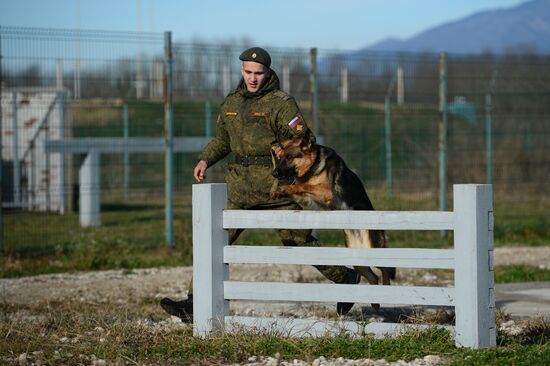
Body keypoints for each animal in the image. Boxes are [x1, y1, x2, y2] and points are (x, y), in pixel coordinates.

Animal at [272, 133, 396, 308]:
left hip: (374, 249)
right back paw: (375, 302)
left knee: (385, 270)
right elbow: (300, 188)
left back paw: (386, 291)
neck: (313, 165)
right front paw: (280, 190)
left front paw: (285, 187)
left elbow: (303, 185)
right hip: (358, 260)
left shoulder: (325, 191)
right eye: (280, 157)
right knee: (373, 276)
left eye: (289, 157)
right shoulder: (308, 198)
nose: (274, 173)